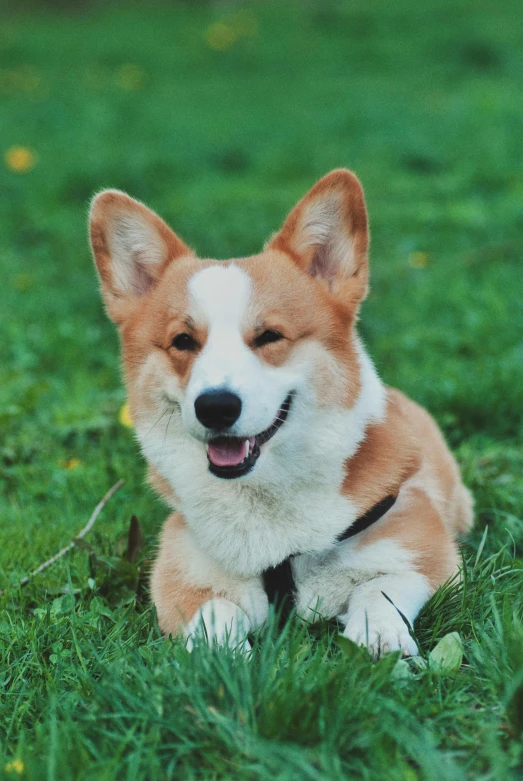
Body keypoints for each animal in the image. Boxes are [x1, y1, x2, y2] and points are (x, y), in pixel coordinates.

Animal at [90, 168, 474, 656]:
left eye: (269, 335)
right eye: (183, 341)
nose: (215, 407)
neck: (265, 502)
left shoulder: (426, 555)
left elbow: (378, 589)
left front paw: (379, 639)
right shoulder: (180, 580)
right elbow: (215, 616)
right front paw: (227, 658)